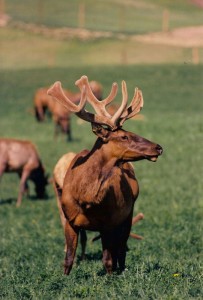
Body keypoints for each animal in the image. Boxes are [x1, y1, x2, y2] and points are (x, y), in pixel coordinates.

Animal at [47, 74, 162, 274]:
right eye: (124, 136)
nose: (158, 147)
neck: (85, 198)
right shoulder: (70, 221)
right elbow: (68, 259)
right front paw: (64, 277)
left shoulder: (108, 221)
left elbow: (107, 259)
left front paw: (111, 278)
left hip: (128, 213)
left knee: (121, 249)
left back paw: (122, 270)